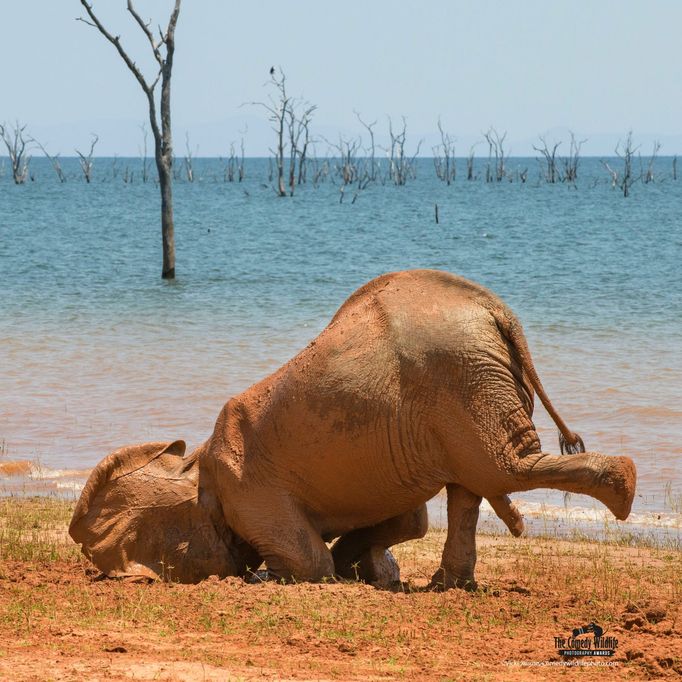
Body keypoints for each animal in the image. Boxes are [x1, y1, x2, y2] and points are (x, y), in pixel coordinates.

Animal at [69, 268, 632, 588]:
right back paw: (447, 585)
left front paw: (274, 576)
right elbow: (409, 523)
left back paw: (623, 489)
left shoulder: (248, 491)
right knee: (472, 485)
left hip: (462, 377)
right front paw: (369, 572)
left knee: (499, 471)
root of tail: (498, 311)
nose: (518, 527)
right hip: (466, 387)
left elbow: (311, 561)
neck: (195, 464)